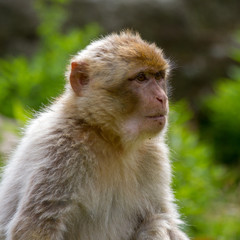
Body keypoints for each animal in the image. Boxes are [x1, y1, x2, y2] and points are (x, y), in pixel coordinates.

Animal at [0, 31, 189, 239]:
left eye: (158, 76)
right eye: (141, 77)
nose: (162, 98)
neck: (108, 137)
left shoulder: (153, 153)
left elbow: (164, 214)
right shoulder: (62, 151)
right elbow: (34, 227)